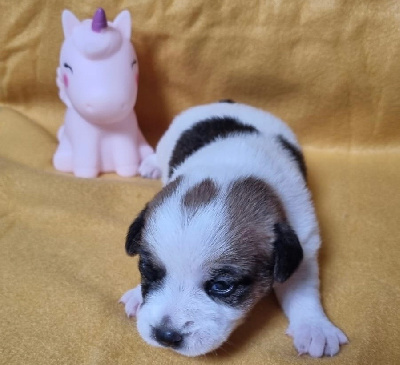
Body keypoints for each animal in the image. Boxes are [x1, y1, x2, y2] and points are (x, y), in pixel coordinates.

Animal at [119, 99, 346, 356]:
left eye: (222, 286)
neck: (232, 169)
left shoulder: (305, 239)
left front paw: (313, 326)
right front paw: (137, 294)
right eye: (147, 271)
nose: (166, 336)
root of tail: (228, 102)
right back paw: (150, 165)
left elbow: (302, 288)